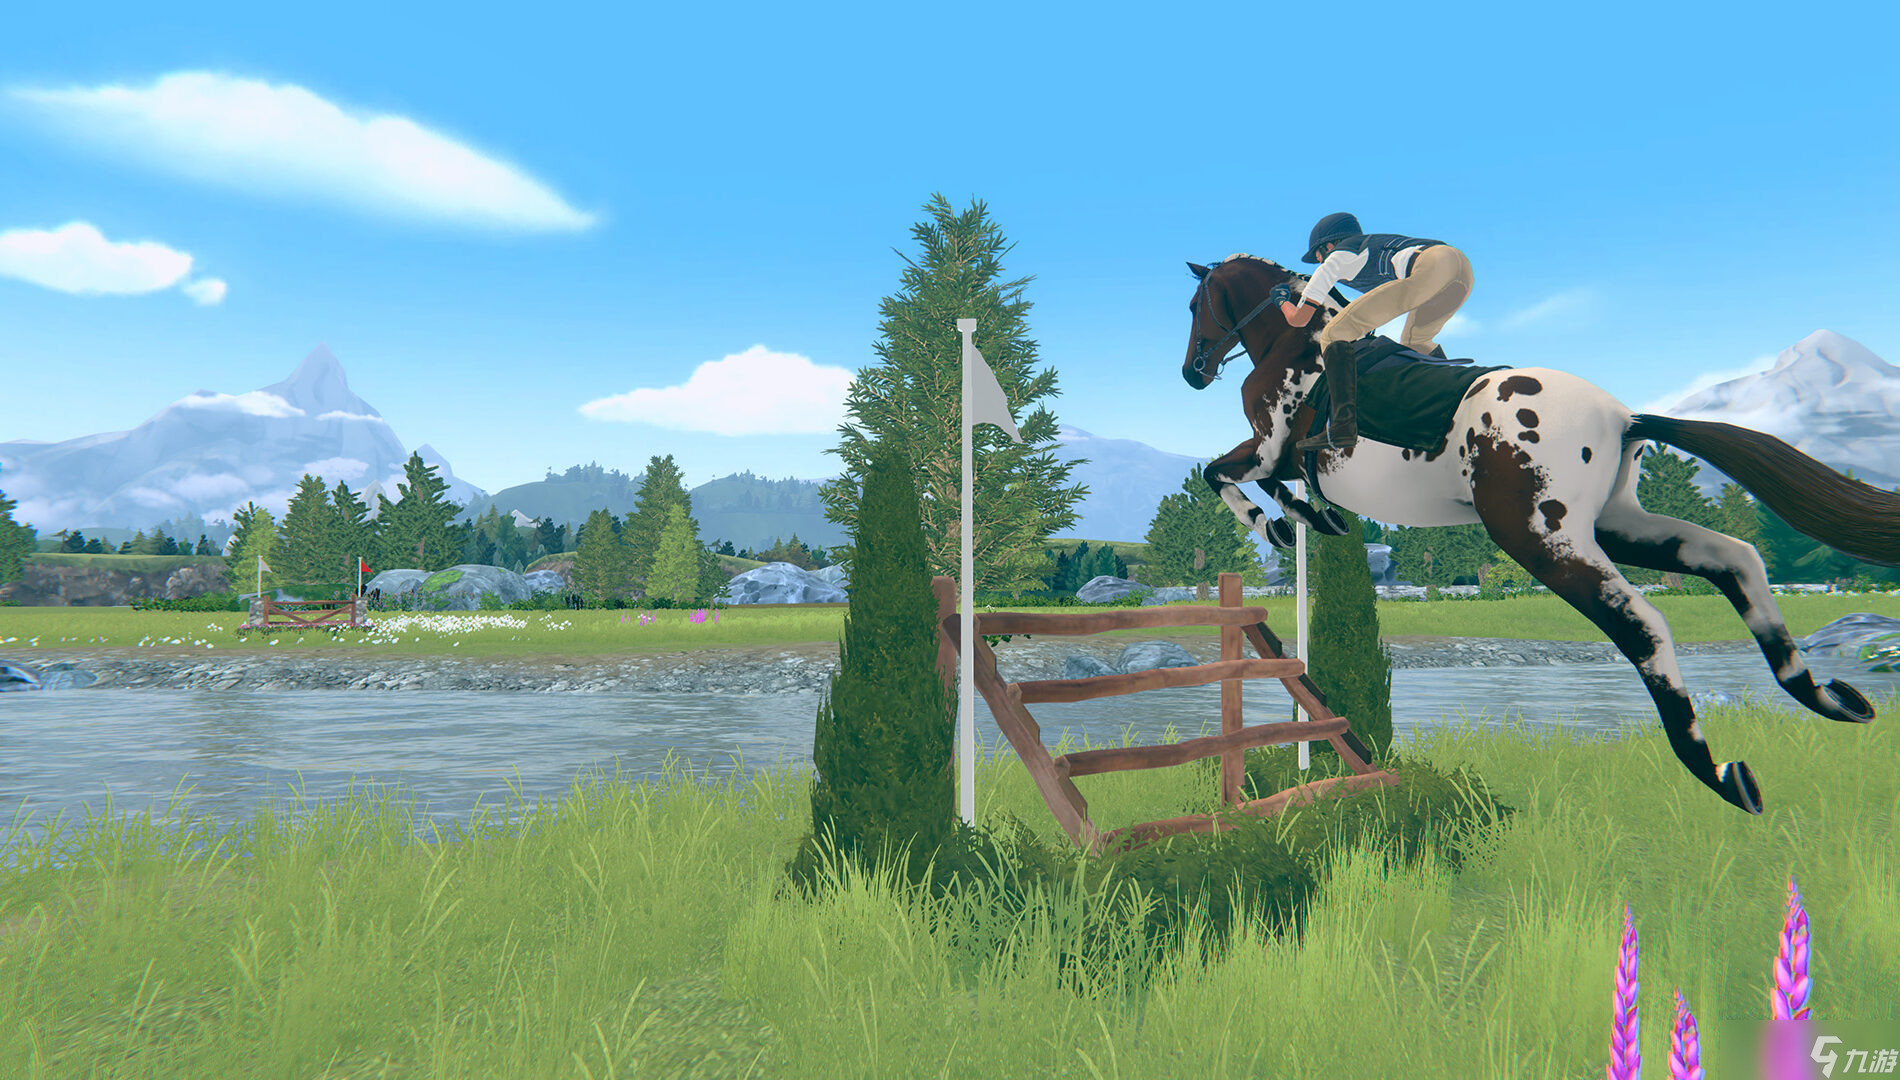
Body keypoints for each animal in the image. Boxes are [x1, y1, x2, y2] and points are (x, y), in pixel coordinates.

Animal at [1180, 253, 1900, 814]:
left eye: (1195, 306)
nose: (1192, 372)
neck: (1292, 342)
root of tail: (1624, 416)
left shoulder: (1271, 444)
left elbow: (1225, 472)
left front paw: (1278, 522)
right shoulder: (1280, 455)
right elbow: (1261, 480)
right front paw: (1306, 518)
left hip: (1539, 536)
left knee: (1643, 625)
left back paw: (1720, 774)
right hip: (1617, 522)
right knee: (1736, 559)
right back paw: (1828, 698)